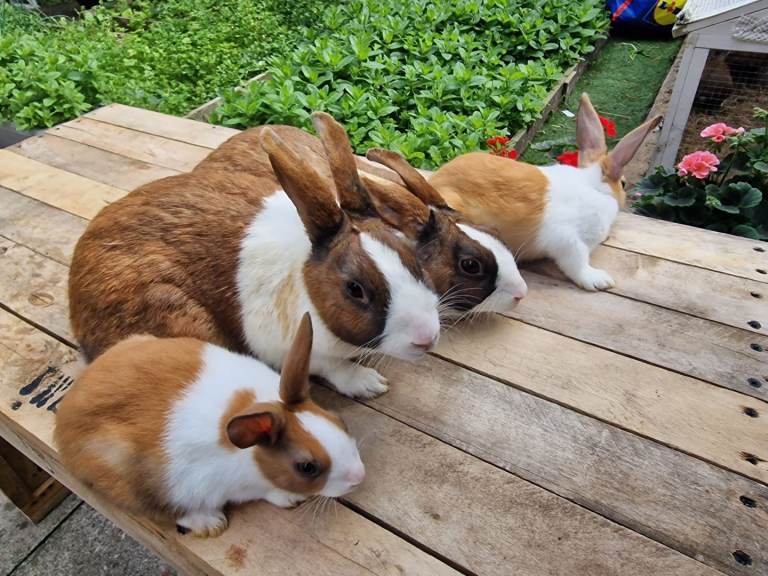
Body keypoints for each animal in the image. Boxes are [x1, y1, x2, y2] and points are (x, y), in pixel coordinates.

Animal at [55, 314, 365, 538]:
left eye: (339, 420)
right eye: (307, 467)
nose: (359, 476)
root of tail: (64, 421)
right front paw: (288, 498)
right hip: (131, 476)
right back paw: (209, 523)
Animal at [69, 115, 441, 399]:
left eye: (412, 258)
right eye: (355, 289)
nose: (427, 337)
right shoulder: (282, 348)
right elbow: (330, 366)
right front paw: (369, 384)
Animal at [428, 93, 662, 291]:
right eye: (623, 183)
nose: (624, 193)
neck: (594, 186)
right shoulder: (569, 241)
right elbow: (577, 264)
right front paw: (599, 280)